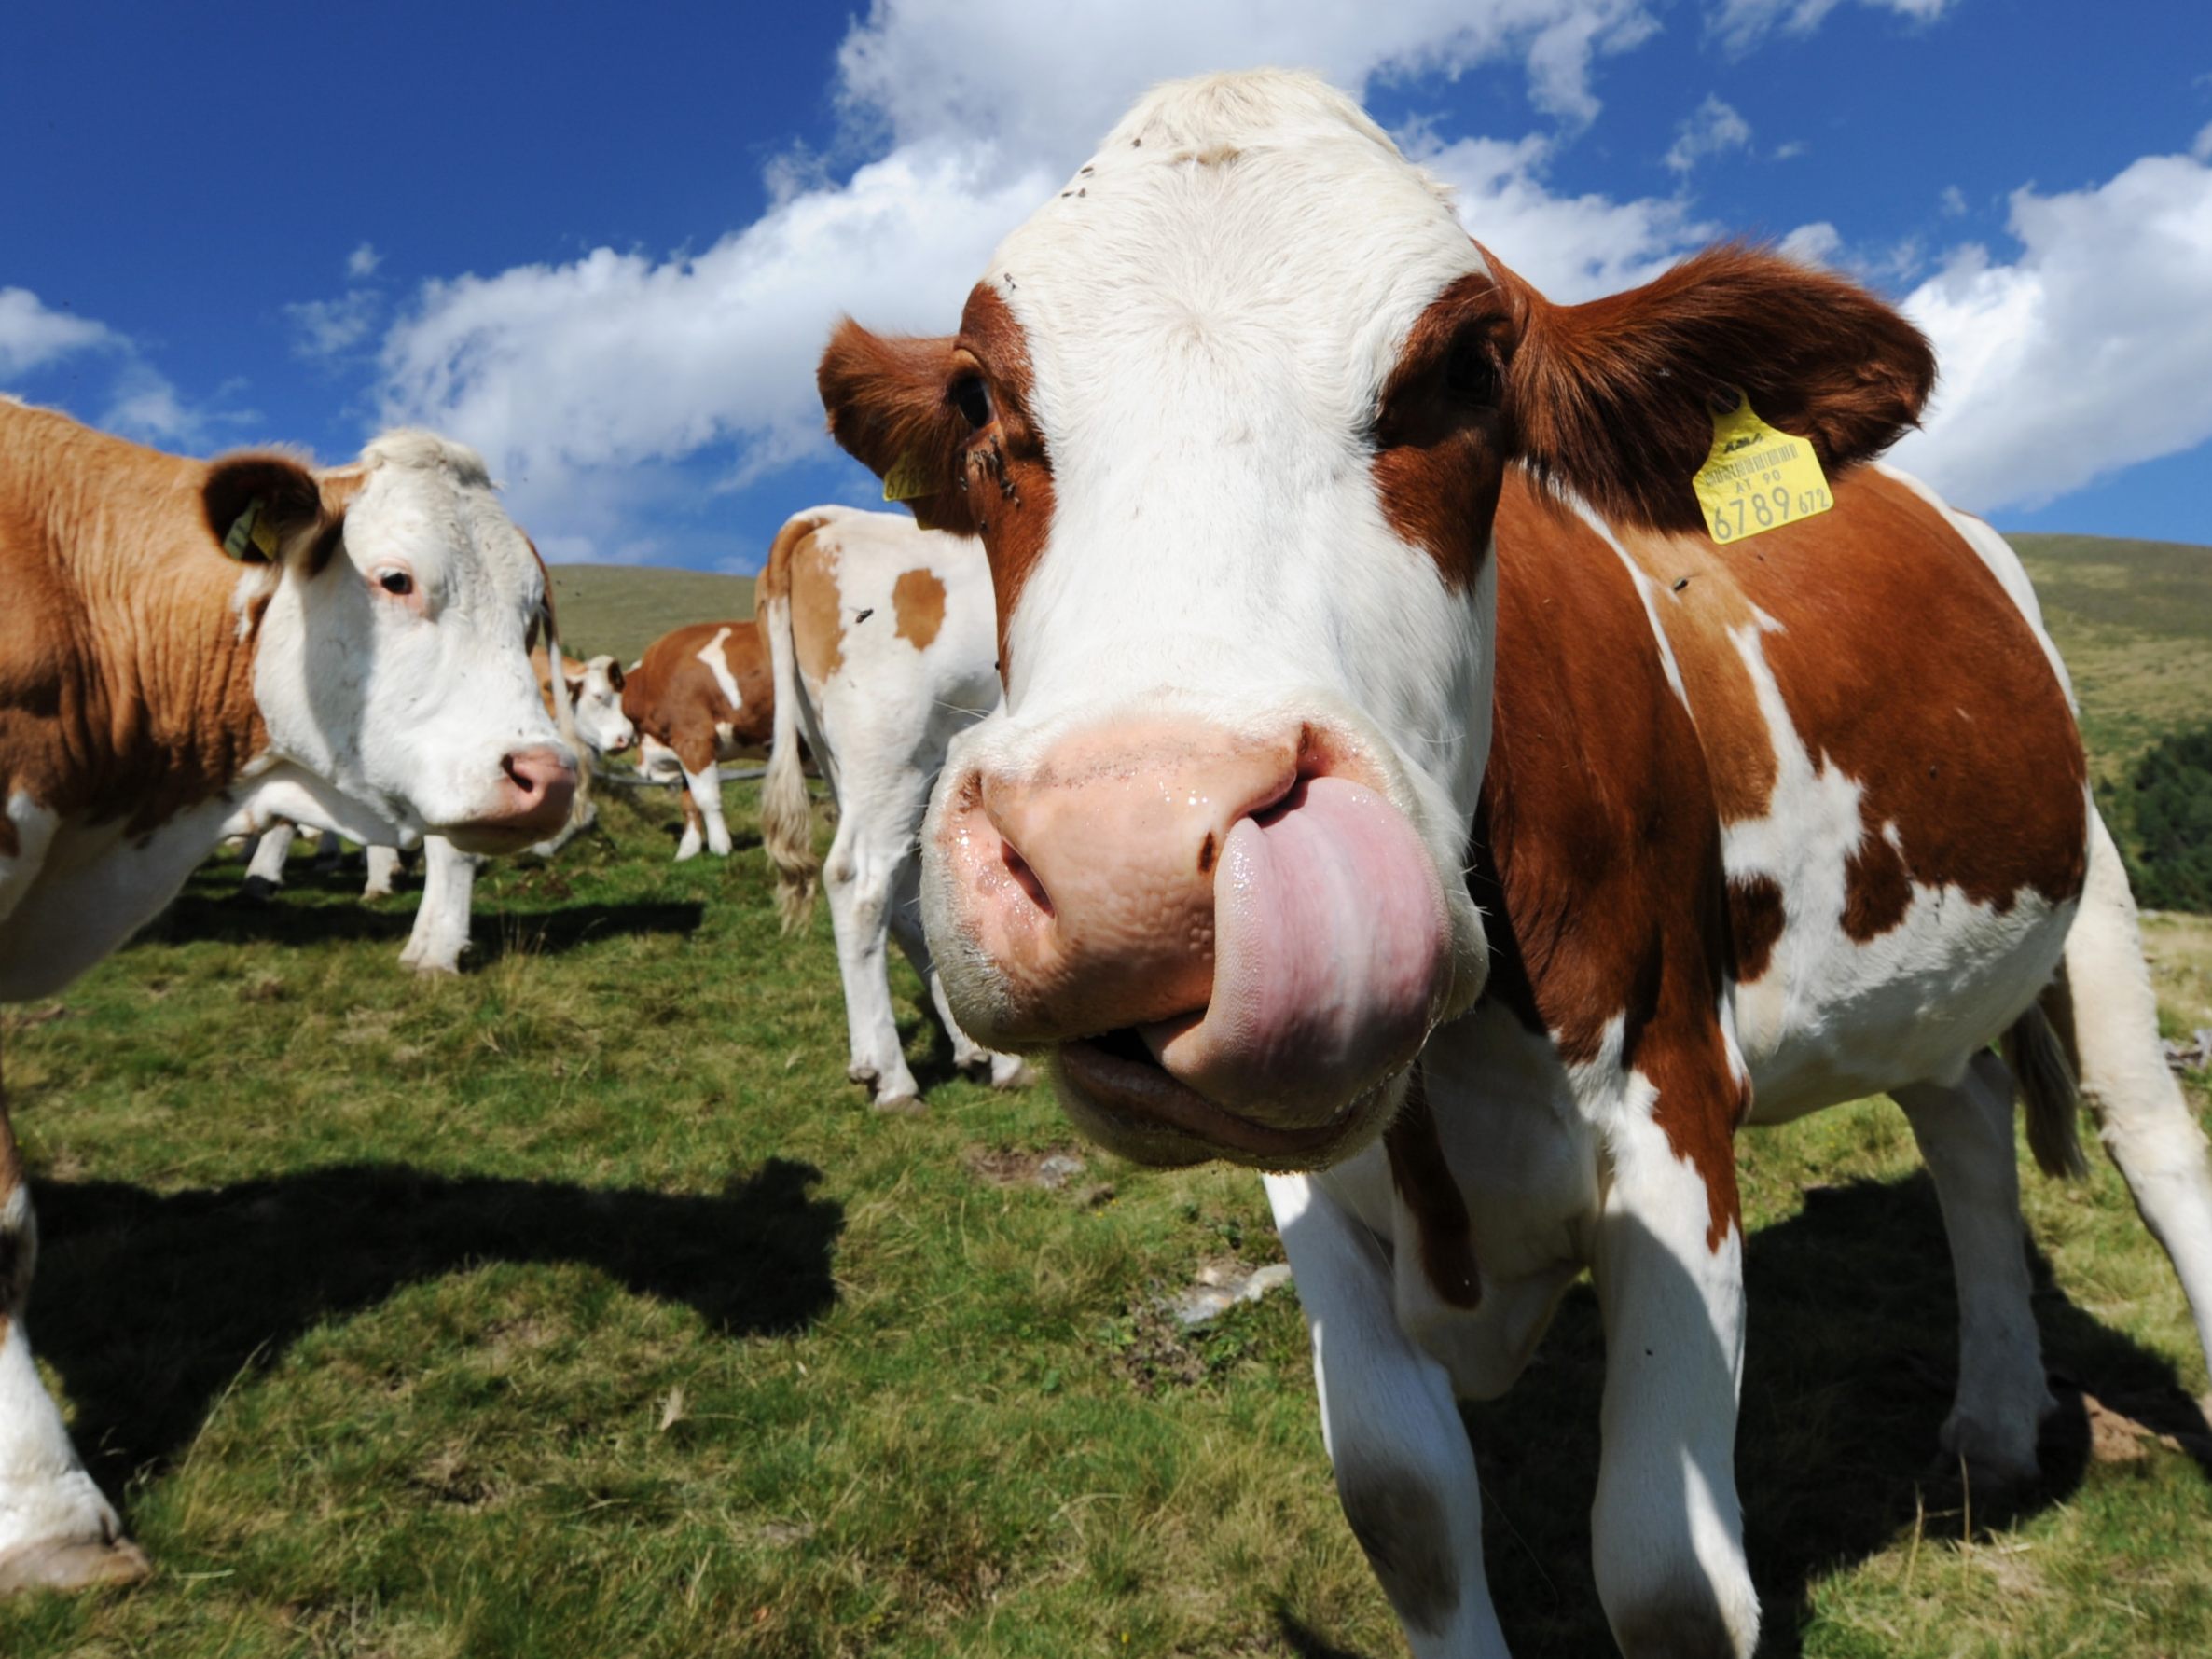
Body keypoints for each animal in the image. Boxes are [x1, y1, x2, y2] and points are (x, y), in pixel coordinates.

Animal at [620, 620, 774, 860]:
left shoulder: (694, 739)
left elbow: (706, 798)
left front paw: (720, 848)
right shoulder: (682, 750)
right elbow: (689, 802)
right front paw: (687, 851)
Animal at [756, 506, 1030, 1108]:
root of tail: (827, 519)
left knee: (908, 897)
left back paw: (986, 1054)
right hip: (889, 753)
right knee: (859, 885)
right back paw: (891, 1077)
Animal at [813, 71, 2212, 1659]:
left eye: (1471, 367)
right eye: (981, 398)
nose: (1128, 860)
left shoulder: (1675, 1109)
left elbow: (1668, 1574)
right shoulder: (1317, 1195)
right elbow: (1405, 1506)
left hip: (2091, 884)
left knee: (2151, 1143)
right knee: (1965, 1120)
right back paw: (1989, 1423)